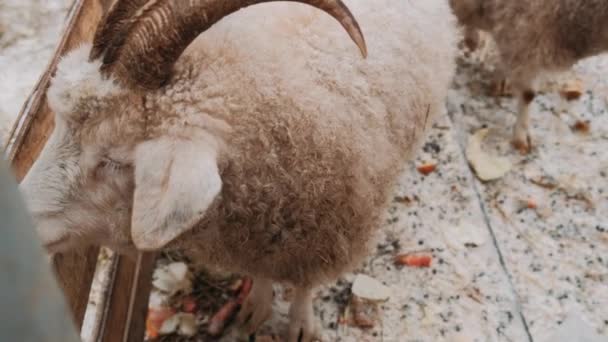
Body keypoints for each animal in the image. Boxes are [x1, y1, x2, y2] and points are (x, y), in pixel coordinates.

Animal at [19, 0, 456, 340]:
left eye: (114, 160)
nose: (21, 221)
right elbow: (261, 278)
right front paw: (254, 310)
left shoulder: (327, 235)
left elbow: (304, 286)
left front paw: (301, 324)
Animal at [448, 0, 608, 152]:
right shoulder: (526, 34)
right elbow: (528, 94)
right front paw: (521, 137)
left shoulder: (521, 39)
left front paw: (500, 80)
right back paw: (471, 39)